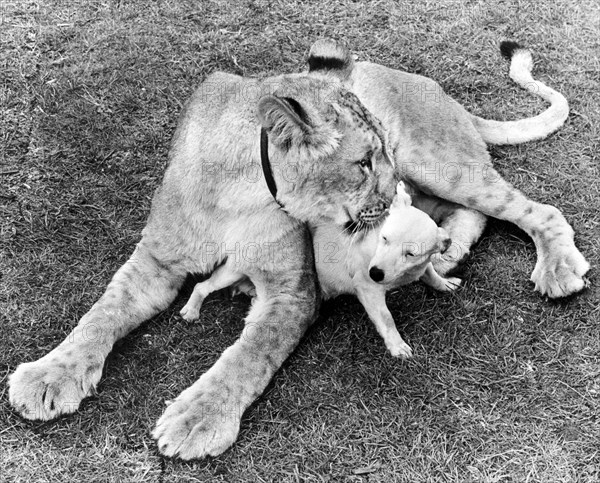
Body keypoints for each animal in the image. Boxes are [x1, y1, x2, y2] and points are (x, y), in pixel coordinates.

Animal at [182, 183, 460, 358]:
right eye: (384, 238)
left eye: (410, 254)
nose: (376, 273)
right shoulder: (368, 290)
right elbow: (386, 319)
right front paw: (397, 346)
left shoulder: (420, 266)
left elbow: (431, 273)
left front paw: (445, 283)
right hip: (233, 270)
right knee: (202, 285)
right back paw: (191, 309)